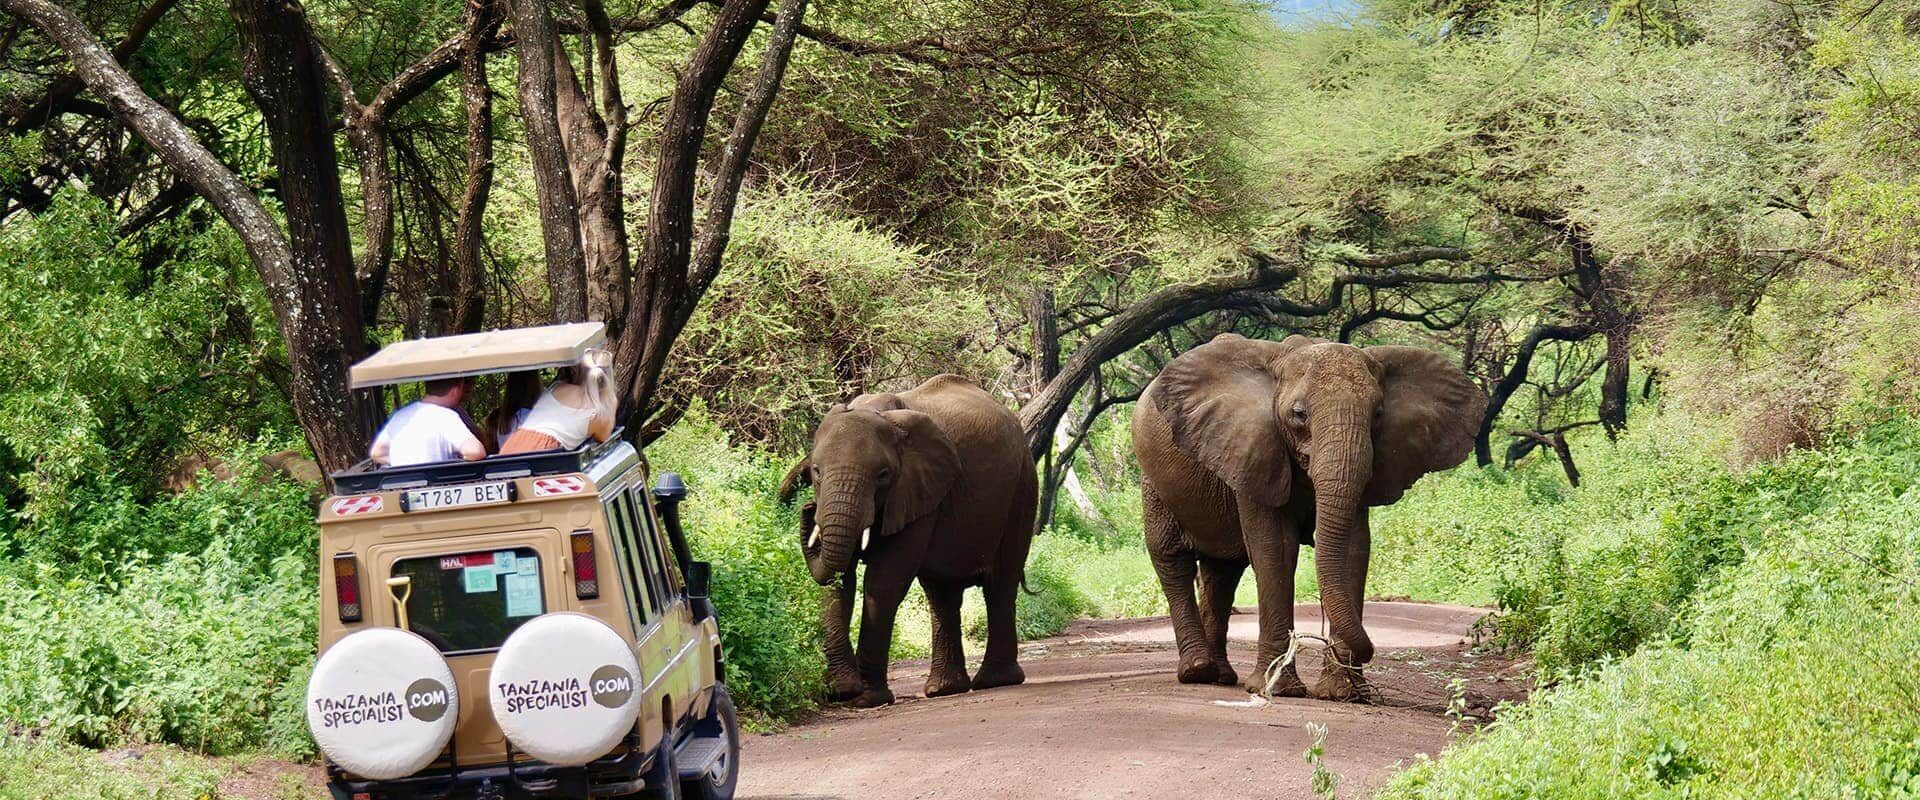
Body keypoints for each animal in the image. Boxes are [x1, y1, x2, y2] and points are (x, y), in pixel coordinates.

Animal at [775, 372, 1036, 705]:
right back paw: (944, 689)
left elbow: (883, 582)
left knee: (1000, 585)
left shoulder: (918, 492)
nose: (807, 508)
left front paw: (867, 699)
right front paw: (841, 691)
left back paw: (994, 681)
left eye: (883, 475)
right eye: (817, 472)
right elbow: (839, 581)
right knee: (942, 594)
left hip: (1022, 489)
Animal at [1121, 329, 1482, 698]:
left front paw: (1344, 693)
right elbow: (1276, 549)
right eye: (1299, 414)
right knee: (1172, 558)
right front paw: (1277, 689)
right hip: (1154, 480)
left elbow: (1352, 550)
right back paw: (1197, 671)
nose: (1369, 650)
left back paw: (1220, 676)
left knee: (1222, 574)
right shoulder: (1254, 449)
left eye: (1379, 414)